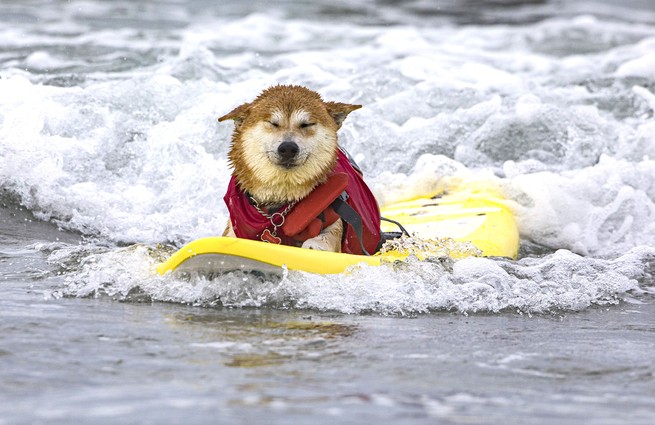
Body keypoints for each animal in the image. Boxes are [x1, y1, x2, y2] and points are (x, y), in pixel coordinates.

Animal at [220, 84, 384, 253]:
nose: (288, 148)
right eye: (273, 123)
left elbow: (326, 239)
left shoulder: (336, 218)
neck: (279, 206)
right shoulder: (233, 228)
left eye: (307, 124)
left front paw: (313, 246)